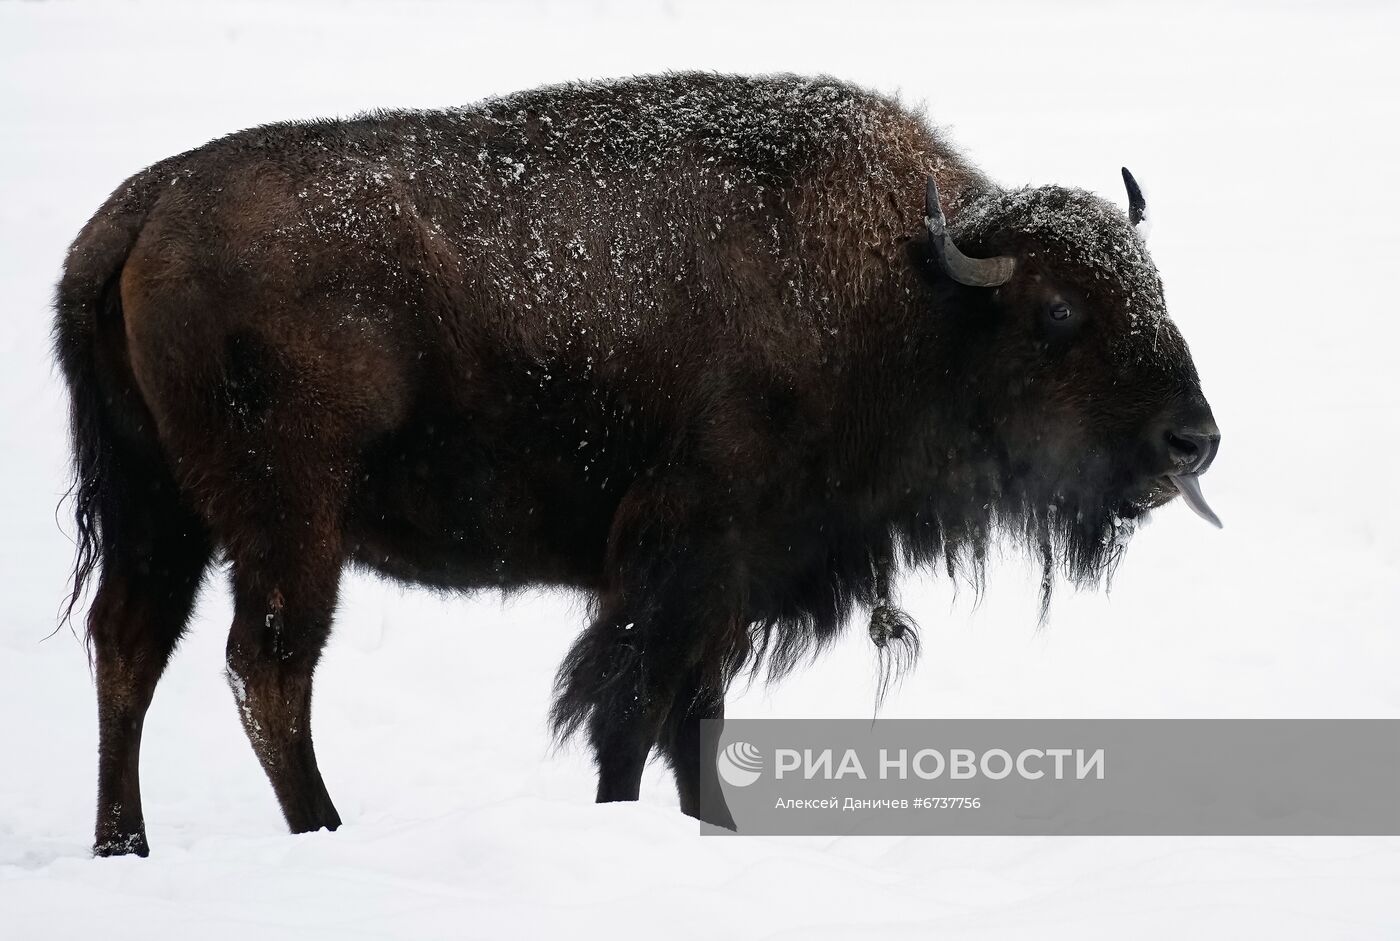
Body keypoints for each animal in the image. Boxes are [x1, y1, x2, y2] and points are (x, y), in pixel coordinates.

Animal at [51, 73, 1215, 851]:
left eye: (1156, 291)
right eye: (1058, 310)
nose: (1192, 439)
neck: (912, 295)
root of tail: (140, 210)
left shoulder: (719, 591)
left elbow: (689, 722)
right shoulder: (689, 566)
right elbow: (632, 715)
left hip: (163, 510)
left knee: (131, 644)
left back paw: (124, 845)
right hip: (289, 523)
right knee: (267, 667)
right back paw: (323, 830)